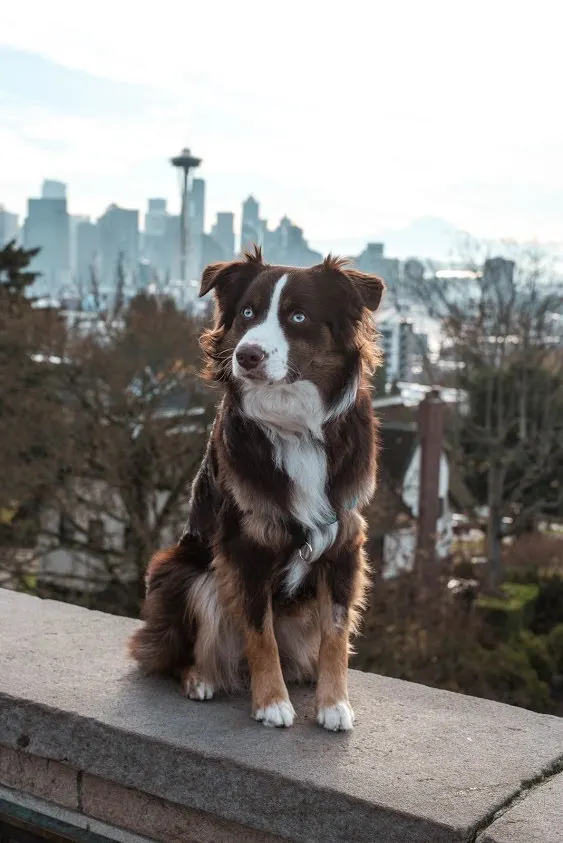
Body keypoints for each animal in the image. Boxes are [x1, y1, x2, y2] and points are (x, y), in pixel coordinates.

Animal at [128, 249, 386, 732]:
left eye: (298, 316)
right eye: (248, 313)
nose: (247, 355)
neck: (295, 427)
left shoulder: (344, 541)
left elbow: (336, 631)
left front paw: (333, 703)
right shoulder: (244, 545)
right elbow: (259, 631)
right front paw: (271, 703)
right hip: (186, 574)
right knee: (177, 649)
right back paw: (201, 677)